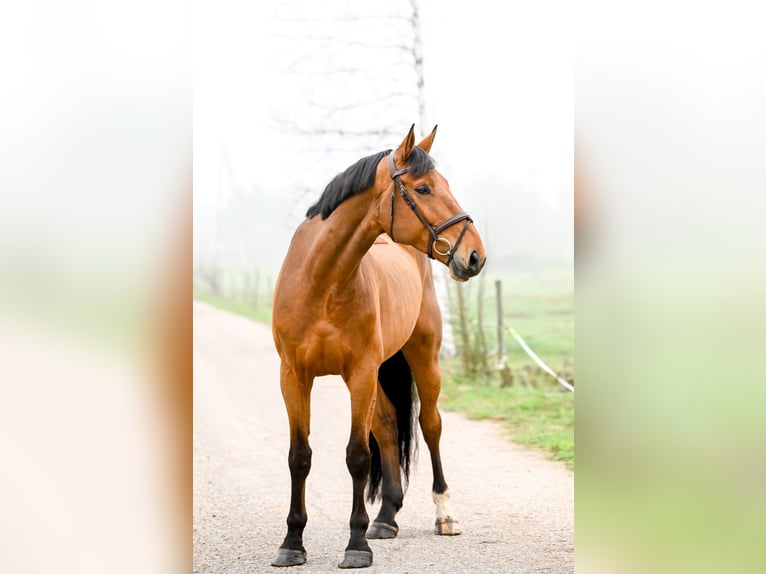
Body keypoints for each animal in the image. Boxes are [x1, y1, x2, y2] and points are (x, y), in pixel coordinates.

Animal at [270, 125, 486, 569]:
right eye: (423, 188)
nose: (475, 255)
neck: (322, 282)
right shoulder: (293, 377)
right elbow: (299, 456)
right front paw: (292, 542)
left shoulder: (361, 373)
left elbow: (357, 456)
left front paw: (355, 546)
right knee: (387, 426)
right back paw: (386, 517)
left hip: (422, 358)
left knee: (430, 425)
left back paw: (444, 514)